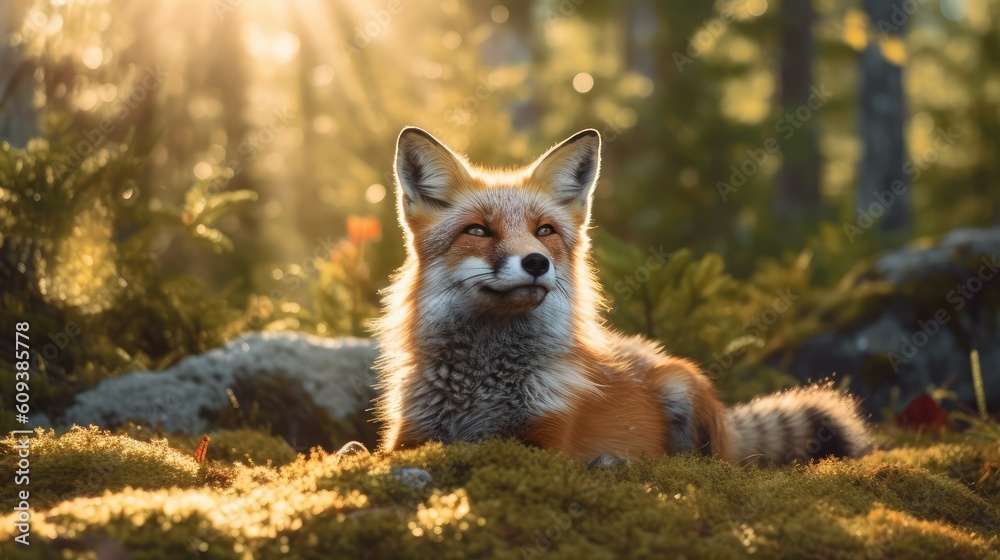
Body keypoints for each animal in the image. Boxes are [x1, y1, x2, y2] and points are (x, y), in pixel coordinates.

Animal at [373, 126, 872, 467]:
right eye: (478, 231)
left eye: (544, 231)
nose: (536, 262)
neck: (482, 384)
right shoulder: (407, 437)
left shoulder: (546, 438)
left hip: (683, 386)